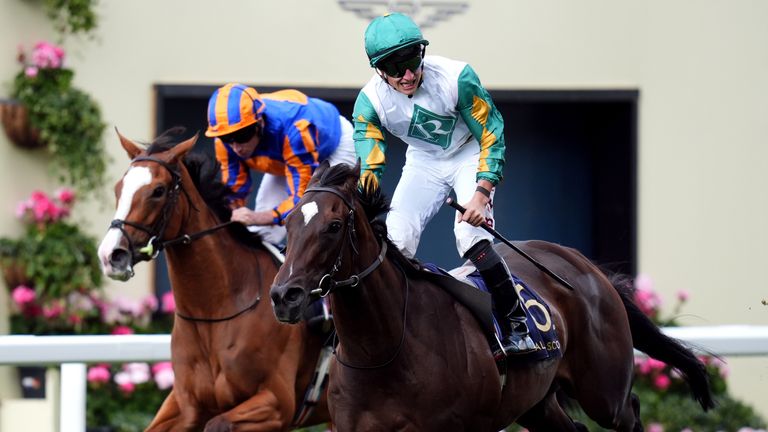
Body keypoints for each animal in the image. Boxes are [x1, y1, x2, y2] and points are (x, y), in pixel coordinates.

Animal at [97, 129, 330, 432]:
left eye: (158, 191)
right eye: (118, 188)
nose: (111, 255)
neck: (214, 313)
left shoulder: (278, 404)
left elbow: (218, 423)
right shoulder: (185, 404)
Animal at [270, 162, 712, 432]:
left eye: (333, 225)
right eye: (288, 223)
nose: (283, 295)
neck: (384, 351)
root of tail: (584, 265)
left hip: (605, 392)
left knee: (629, 411)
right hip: (538, 402)